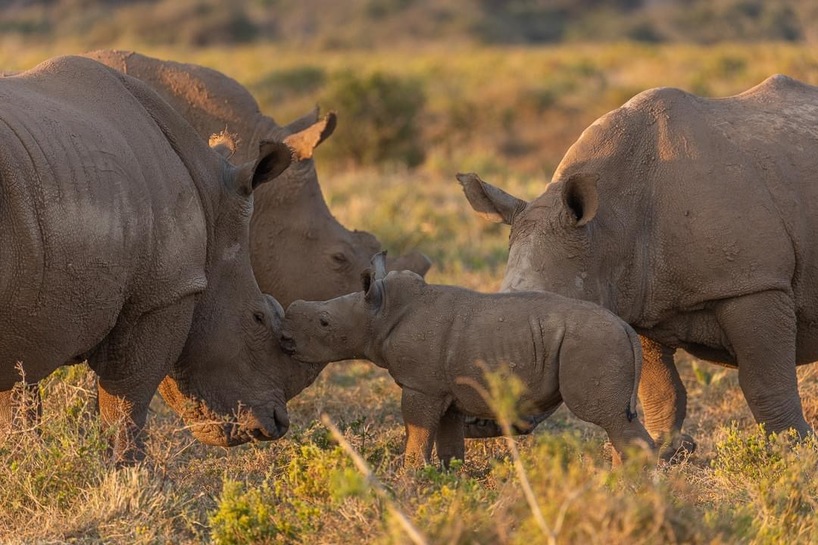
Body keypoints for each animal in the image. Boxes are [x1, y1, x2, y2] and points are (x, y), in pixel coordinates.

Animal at [0, 55, 294, 462]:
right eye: (258, 318)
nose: (277, 424)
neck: (210, 203)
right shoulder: (164, 292)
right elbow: (128, 400)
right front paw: (127, 470)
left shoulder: (28, 314)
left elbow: (18, 402)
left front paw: (24, 460)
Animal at [278, 253, 652, 466]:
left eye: (324, 323)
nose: (284, 339)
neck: (379, 313)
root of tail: (626, 328)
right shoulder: (444, 390)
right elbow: (449, 444)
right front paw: (450, 481)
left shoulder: (421, 387)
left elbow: (417, 435)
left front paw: (409, 479)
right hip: (599, 341)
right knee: (618, 421)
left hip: (593, 342)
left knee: (607, 417)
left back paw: (627, 489)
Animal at [456, 74, 816, 456]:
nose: (479, 418)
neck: (606, 231)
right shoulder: (635, 296)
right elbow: (659, 387)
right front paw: (668, 452)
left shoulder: (753, 281)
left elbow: (766, 379)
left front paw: (792, 449)